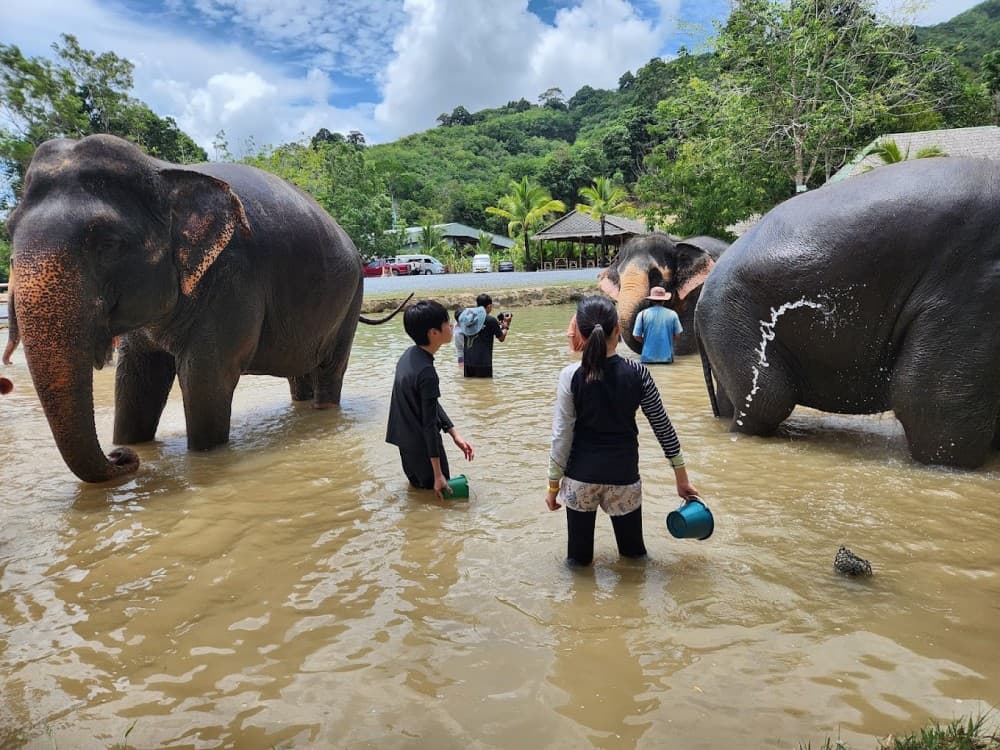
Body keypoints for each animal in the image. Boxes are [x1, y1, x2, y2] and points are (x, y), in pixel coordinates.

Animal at [7, 134, 407, 483]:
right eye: (8, 230)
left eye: (108, 243)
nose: (120, 458)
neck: (161, 170)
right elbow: (137, 378)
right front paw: (134, 444)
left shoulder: (232, 278)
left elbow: (204, 377)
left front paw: (201, 459)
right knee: (299, 373)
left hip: (351, 297)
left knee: (329, 369)